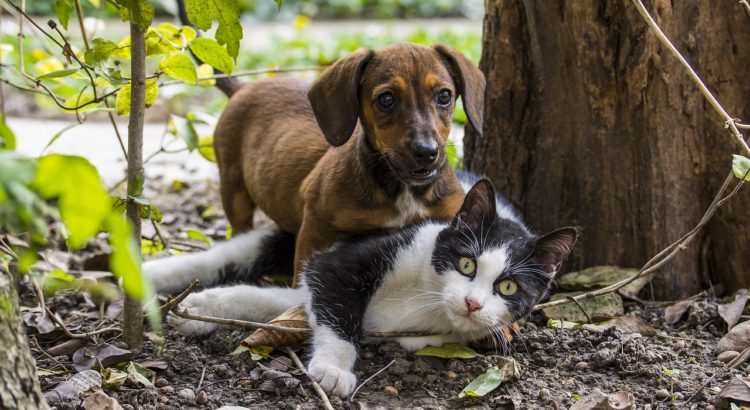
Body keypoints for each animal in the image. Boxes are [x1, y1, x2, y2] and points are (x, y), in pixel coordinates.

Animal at [144, 175, 580, 398]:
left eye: (508, 288)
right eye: (467, 264)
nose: (473, 303)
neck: (427, 298)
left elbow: (276, 301)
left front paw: (204, 310)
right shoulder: (349, 258)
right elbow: (336, 305)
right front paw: (333, 369)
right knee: (230, 254)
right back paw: (149, 275)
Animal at [214, 43, 484, 284]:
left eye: (444, 96)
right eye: (386, 99)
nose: (426, 152)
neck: (402, 190)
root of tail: (242, 88)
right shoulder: (315, 229)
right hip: (234, 190)